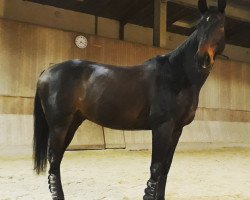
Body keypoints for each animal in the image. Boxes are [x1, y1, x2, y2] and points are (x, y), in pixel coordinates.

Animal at [34, 0, 228, 199]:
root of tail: (47, 71)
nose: (202, 59)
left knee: (57, 159)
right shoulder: (162, 126)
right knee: (53, 160)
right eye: (199, 26)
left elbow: (165, 168)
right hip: (59, 125)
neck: (176, 76)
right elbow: (156, 168)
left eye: (221, 25)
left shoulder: (177, 129)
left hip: (72, 123)